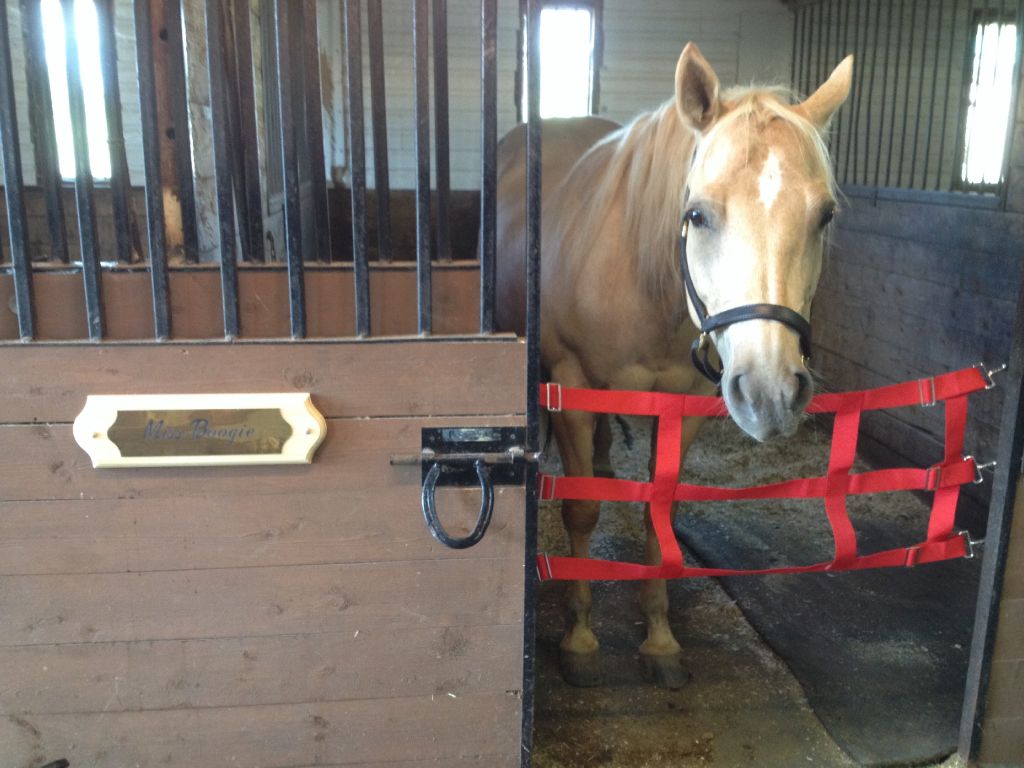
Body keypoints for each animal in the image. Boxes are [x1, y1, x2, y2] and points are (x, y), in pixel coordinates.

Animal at [494, 43, 853, 689]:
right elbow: (581, 511)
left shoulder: (681, 408)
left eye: (824, 216)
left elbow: (659, 518)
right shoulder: (572, 388)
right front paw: (580, 637)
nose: (770, 392)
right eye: (699, 215)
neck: (645, 281)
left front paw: (660, 640)